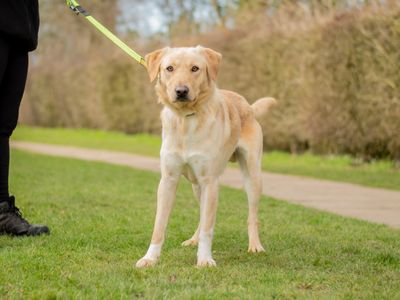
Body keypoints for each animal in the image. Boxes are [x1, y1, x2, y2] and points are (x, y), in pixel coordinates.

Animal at [137, 45, 276, 268]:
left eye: (195, 68)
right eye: (169, 68)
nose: (181, 91)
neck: (185, 120)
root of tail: (248, 106)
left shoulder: (210, 181)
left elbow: (208, 229)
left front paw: (204, 259)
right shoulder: (168, 180)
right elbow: (159, 225)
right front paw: (150, 258)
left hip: (253, 177)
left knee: (251, 216)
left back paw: (255, 245)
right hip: (196, 186)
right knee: (202, 217)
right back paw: (193, 239)